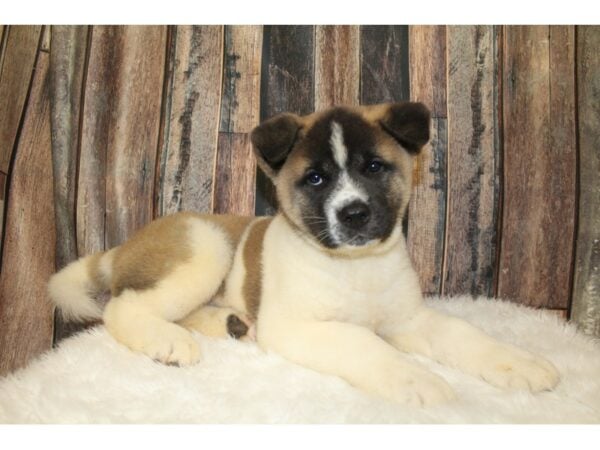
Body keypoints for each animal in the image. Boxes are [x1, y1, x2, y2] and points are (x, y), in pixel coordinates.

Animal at [49, 103, 560, 406]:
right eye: (315, 178)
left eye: (375, 167)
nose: (353, 213)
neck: (355, 268)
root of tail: (125, 245)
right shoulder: (300, 328)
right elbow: (364, 344)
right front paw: (418, 381)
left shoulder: (409, 320)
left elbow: (464, 335)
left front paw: (519, 363)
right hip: (206, 248)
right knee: (123, 308)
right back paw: (168, 341)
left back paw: (230, 324)